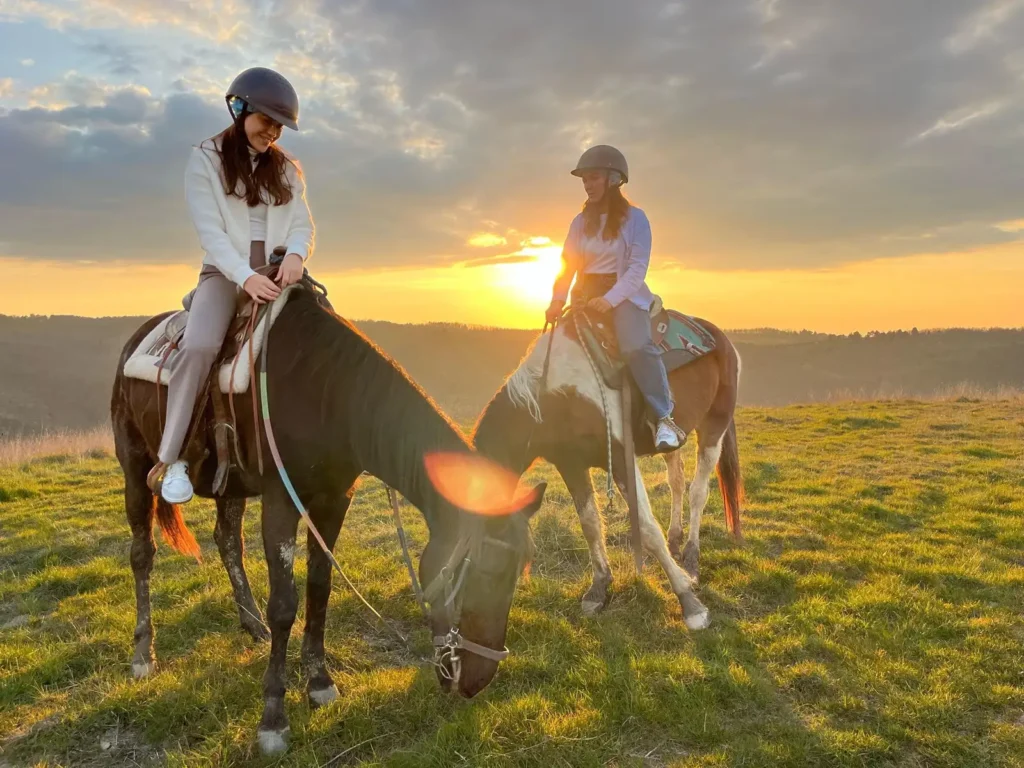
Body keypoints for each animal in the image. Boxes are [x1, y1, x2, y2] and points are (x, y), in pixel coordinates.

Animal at [111, 289, 546, 754]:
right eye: (483, 570)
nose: (479, 681)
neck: (330, 395)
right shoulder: (282, 500)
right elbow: (285, 605)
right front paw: (273, 718)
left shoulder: (336, 500)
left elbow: (320, 588)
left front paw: (319, 682)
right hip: (135, 464)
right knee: (142, 553)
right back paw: (143, 654)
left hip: (229, 486)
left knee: (227, 541)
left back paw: (251, 623)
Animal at [472, 311, 743, 630]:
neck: (555, 395)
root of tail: (717, 335)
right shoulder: (570, 463)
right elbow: (589, 522)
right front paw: (599, 587)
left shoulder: (623, 461)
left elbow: (647, 529)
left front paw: (690, 604)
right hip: (677, 437)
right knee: (676, 481)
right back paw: (676, 541)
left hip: (715, 424)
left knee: (698, 492)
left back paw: (690, 560)